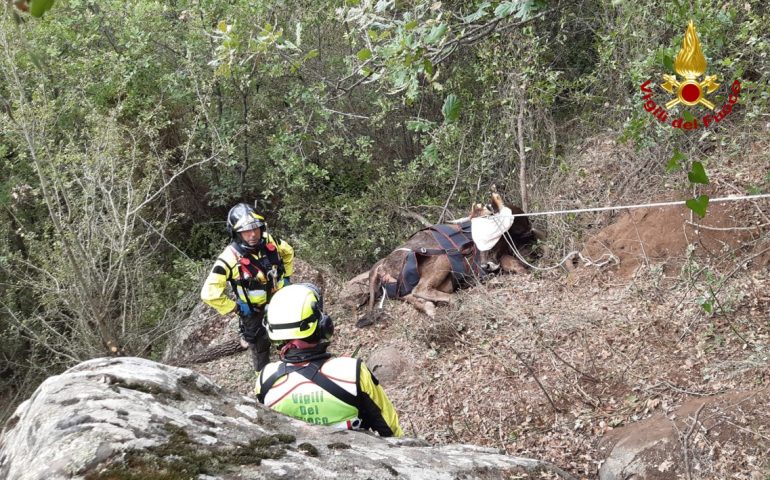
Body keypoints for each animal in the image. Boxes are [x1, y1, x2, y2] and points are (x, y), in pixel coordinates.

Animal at [356, 192, 536, 326]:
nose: (486, 266)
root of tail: (382, 266)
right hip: (442, 258)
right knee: (421, 289)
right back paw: (453, 300)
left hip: (399, 288)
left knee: (413, 297)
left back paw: (429, 307)